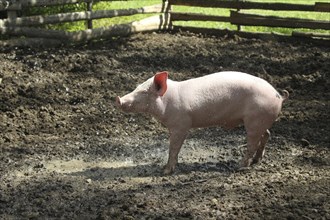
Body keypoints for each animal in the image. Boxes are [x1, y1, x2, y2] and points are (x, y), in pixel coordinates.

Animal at [116, 71, 288, 174]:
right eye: (137, 88)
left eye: (144, 92)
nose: (118, 99)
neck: (167, 101)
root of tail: (278, 95)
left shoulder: (181, 124)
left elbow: (174, 148)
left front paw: (165, 171)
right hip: (260, 121)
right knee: (266, 134)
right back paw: (257, 160)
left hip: (254, 120)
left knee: (252, 143)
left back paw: (240, 166)